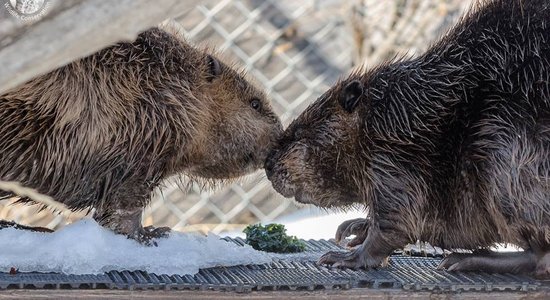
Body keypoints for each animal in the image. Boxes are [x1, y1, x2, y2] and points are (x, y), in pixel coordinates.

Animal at [266, 0, 550, 278]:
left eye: (299, 132)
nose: (268, 165)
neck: (398, 111)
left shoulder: (392, 158)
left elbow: (397, 220)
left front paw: (345, 256)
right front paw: (353, 228)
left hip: (499, 146)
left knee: (540, 258)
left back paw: (464, 260)